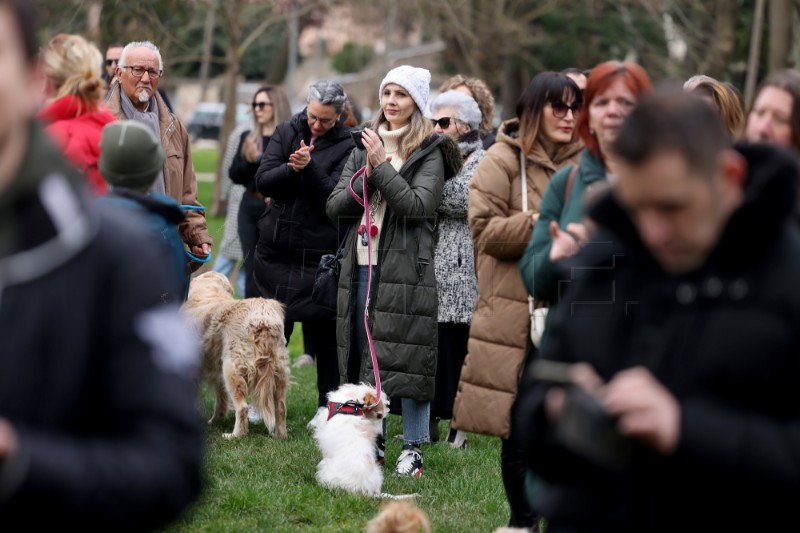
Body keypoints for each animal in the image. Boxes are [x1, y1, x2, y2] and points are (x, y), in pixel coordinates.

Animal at [181, 272, 290, 438]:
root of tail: (262, 317)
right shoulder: (217, 373)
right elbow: (220, 399)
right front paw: (216, 421)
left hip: (232, 369)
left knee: (243, 408)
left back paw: (235, 436)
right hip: (279, 371)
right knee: (281, 407)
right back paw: (280, 437)